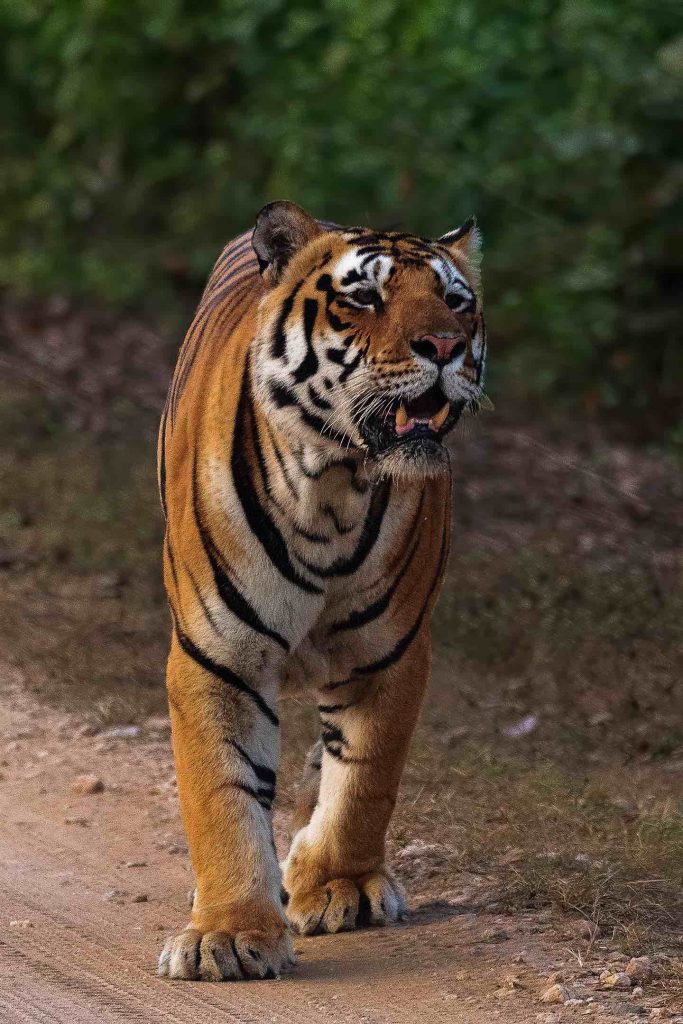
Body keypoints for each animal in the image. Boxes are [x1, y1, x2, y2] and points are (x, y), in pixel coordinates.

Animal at [156, 201, 485, 983]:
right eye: (364, 297)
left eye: (457, 301)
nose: (446, 346)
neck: (333, 484)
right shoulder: (219, 655)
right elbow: (222, 794)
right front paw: (227, 932)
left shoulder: (389, 654)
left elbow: (366, 778)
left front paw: (337, 886)